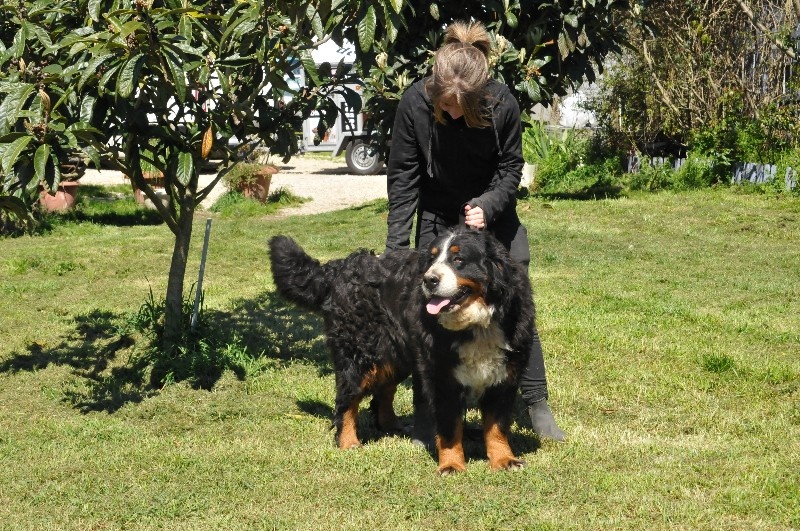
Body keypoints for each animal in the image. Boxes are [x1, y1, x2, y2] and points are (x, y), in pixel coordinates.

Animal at [270, 229, 536, 474]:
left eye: (458, 259)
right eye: (431, 260)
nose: (429, 280)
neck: (476, 325)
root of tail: (339, 267)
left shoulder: (503, 377)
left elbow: (497, 426)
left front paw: (503, 459)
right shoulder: (441, 378)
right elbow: (450, 428)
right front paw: (451, 464)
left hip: (396, 356)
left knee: (383, 392)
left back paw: (392, 426)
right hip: (359, 356)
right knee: (346, 401)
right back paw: (348, 442)